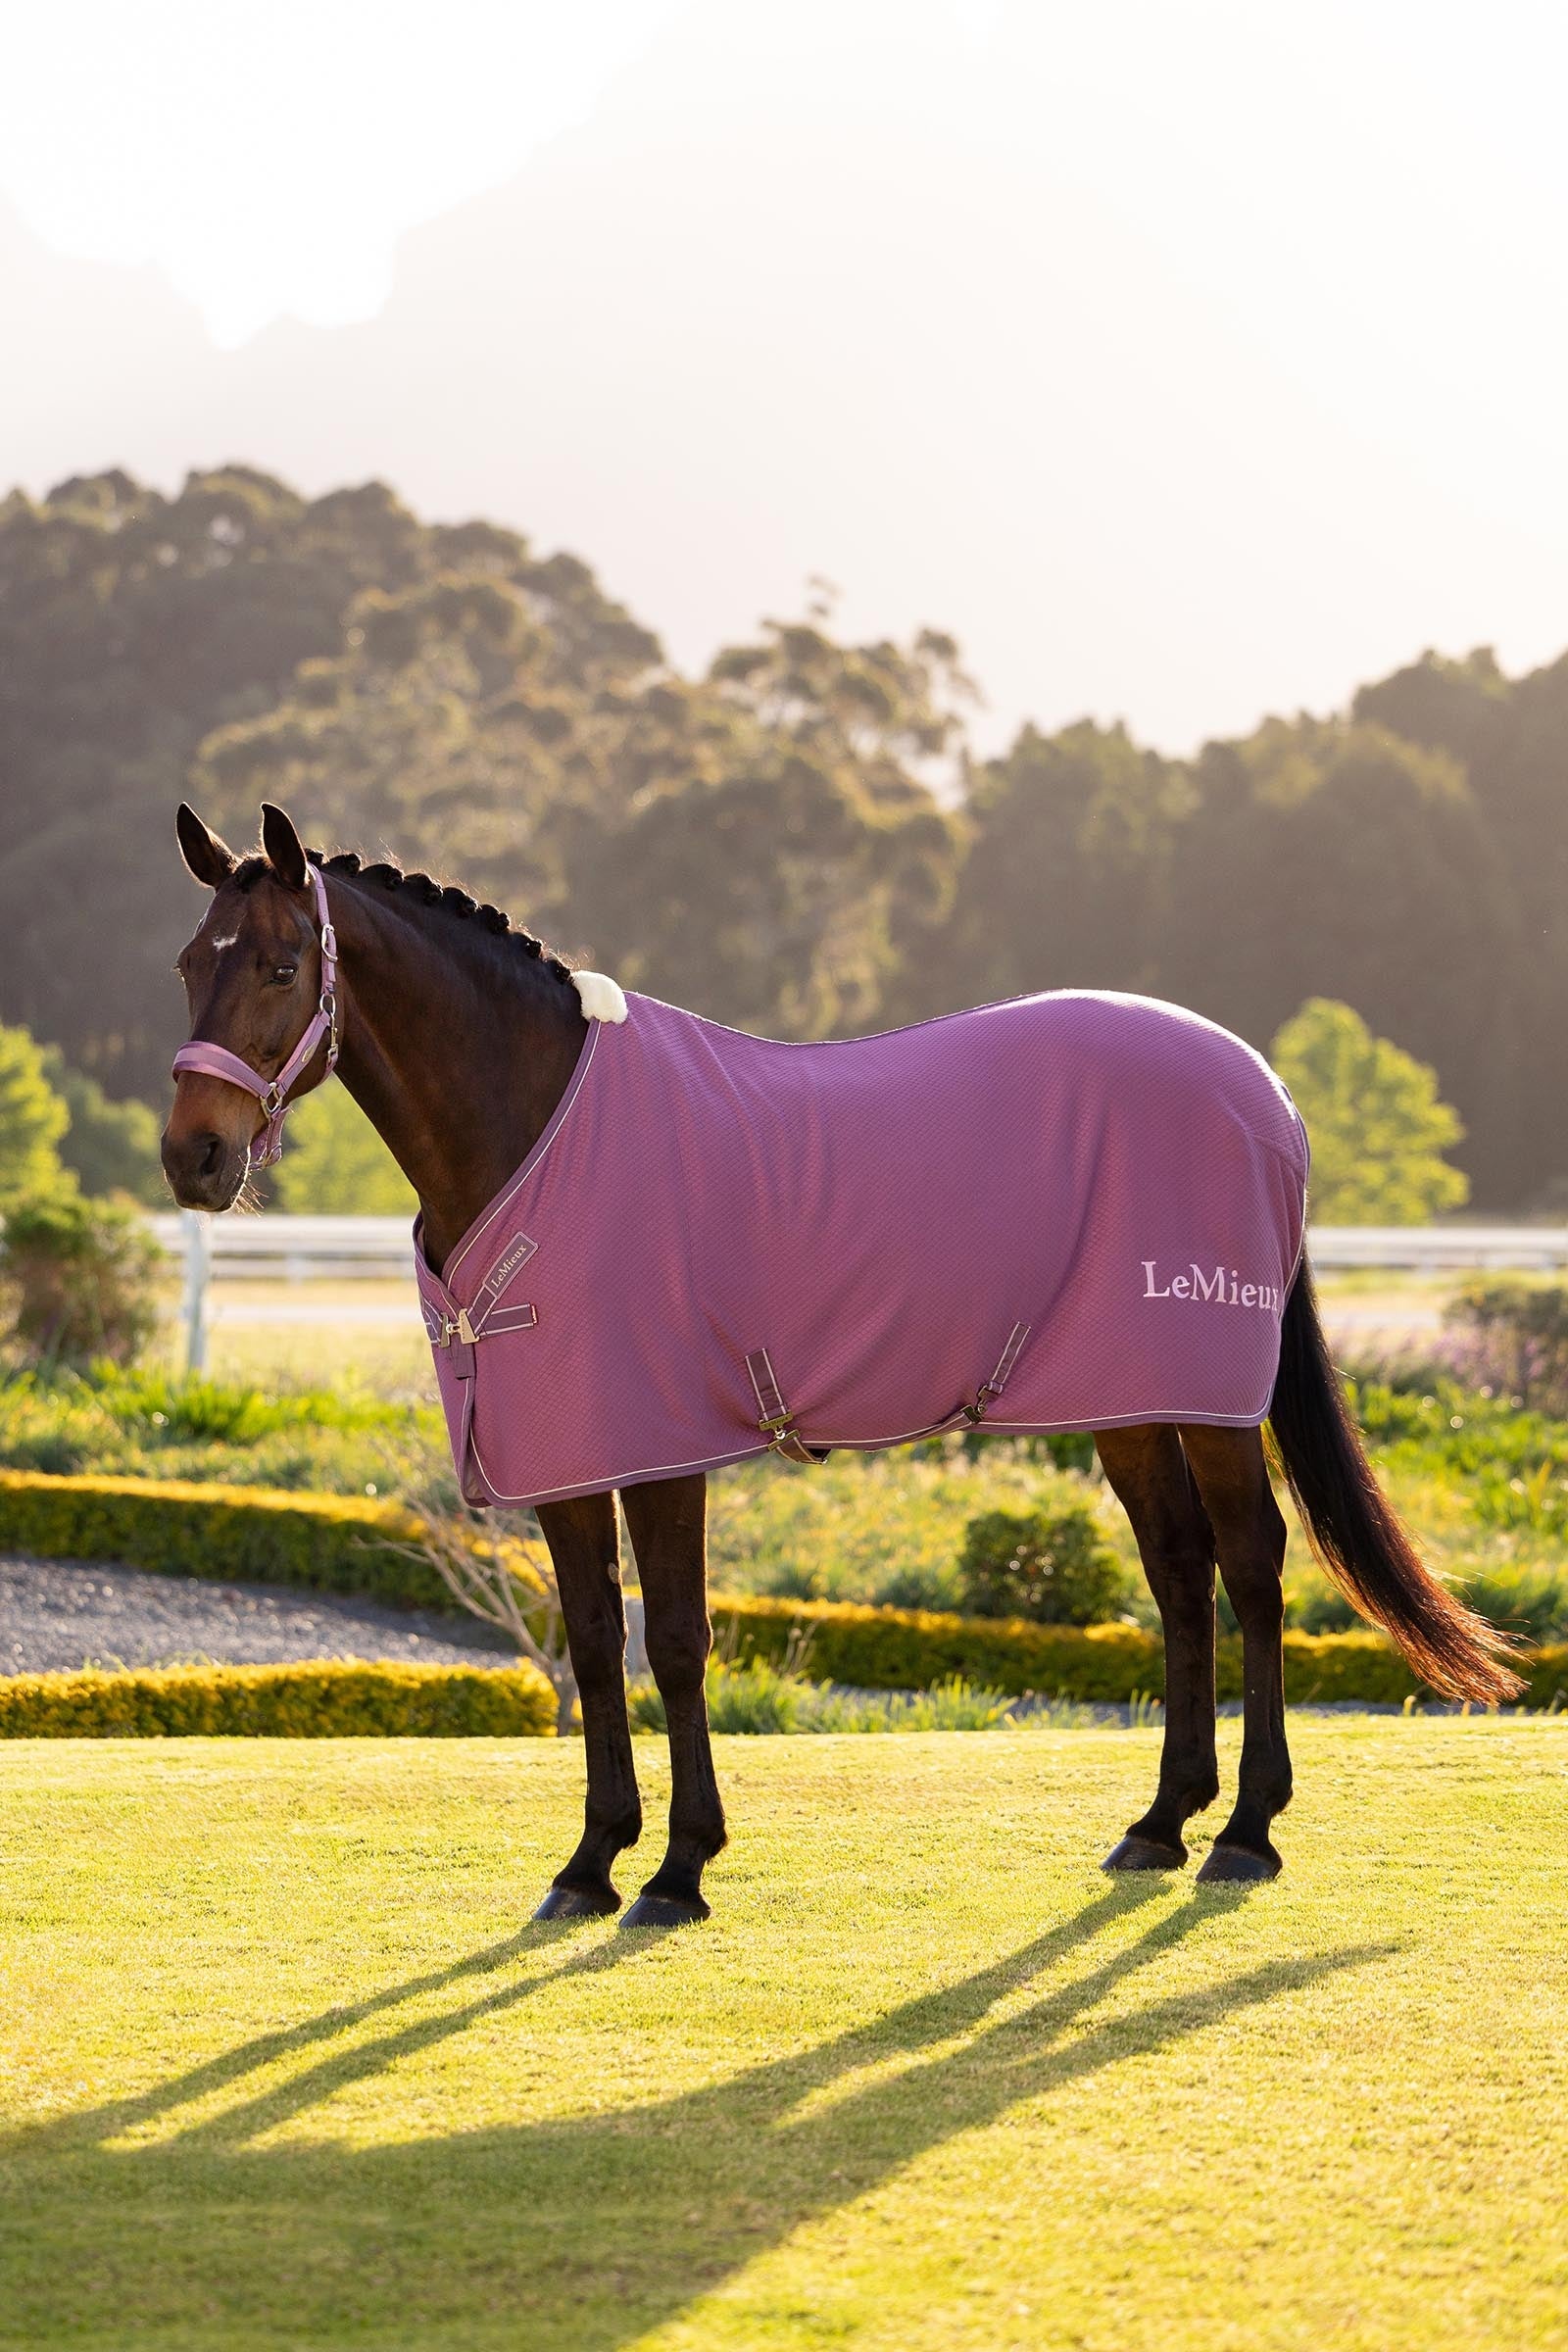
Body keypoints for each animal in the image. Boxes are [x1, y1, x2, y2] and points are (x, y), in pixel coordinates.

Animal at [162, 801, 1520, 1927]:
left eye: (280, 966)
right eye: (188, 964)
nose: (193, 1157)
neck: (540, 1131)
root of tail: (1267, 1094)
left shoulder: (663, 1447)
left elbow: (676, 1643)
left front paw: (677, 1872)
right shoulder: (565, 1453)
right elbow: (593, 1644)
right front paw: (590, 1865)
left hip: (1209, 1401)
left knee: (1250, 1566)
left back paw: (1246, 1831)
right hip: (1131, 1398)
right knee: (1179, 1571)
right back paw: (1160, 1822)